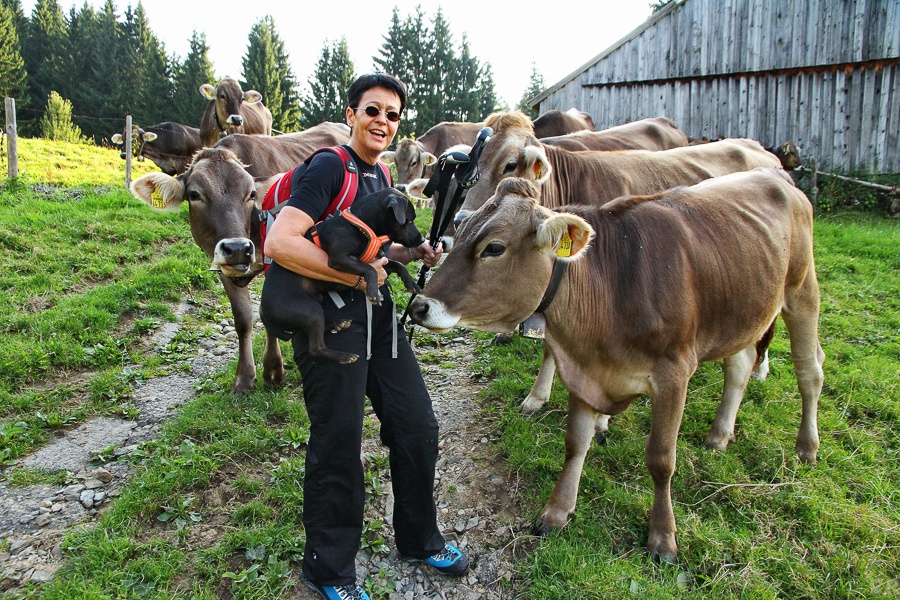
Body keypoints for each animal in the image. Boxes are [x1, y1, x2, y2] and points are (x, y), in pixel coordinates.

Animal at [127, 148, 292, 396]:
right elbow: (242, 318)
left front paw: (273, 371)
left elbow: (267, 311)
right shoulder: (222, 265)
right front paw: (244, 378)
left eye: (252, 194)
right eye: (194, 194)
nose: (237, 248)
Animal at [260, 188, 426, 364]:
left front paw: (411, 283)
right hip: (310, 309)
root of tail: (264, 311)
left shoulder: (379, 260)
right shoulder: (339, 259)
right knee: (316, 348)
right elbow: (370, 270)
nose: (423, 239)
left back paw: (337, 324)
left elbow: (398, 264)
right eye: (409, 221)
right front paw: (373, 292)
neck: (361, 227)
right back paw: (344, 356)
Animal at [412, 172, 828, 564]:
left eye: (494, 248)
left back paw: (807, 447)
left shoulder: (674, 374)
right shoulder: (581, 369)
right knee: (739, 367)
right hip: (741, 314)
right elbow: (574, 444)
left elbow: (661, 459)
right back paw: (719, 435)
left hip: (802, 291)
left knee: (811, 372)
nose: (419, 306)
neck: (612, 291)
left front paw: (663, 537)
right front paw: (556, 511)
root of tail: (776, 176)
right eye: (461, 230)